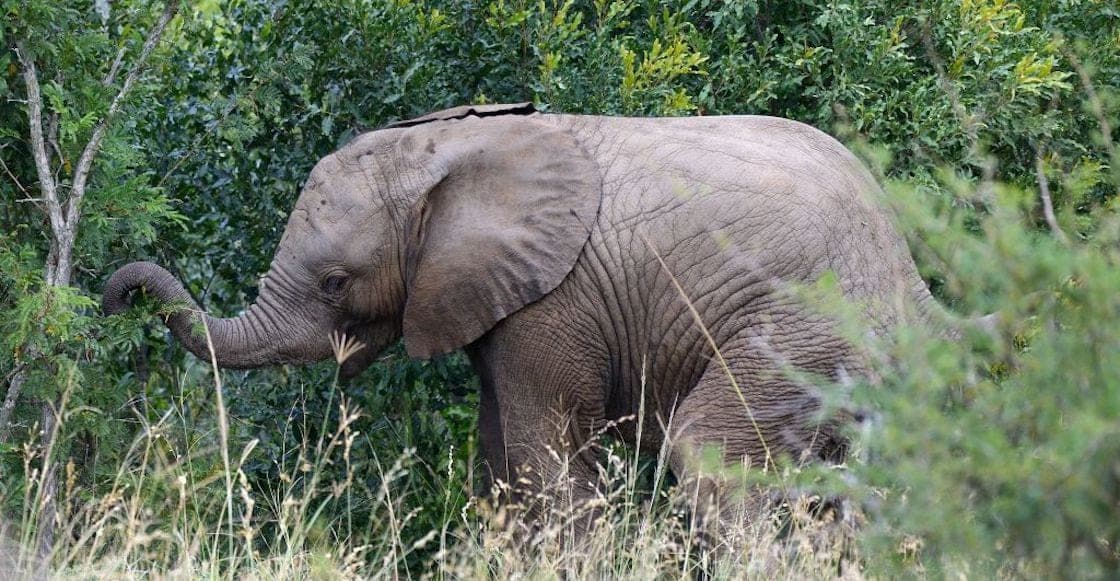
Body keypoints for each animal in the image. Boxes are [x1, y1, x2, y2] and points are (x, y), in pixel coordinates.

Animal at [103, 103, 944, 535]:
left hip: (807, 330)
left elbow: (547, 460)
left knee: (709, 453)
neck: (445, 143)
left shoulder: (554, 300)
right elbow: (500, 461)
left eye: (335, 282)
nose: (116, 297)